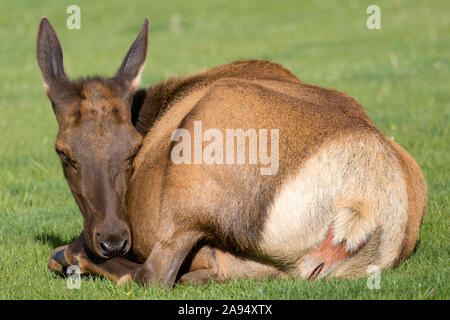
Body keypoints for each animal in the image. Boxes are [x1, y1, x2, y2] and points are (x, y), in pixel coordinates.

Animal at [37, 18, 428, 288]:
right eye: (64, 153)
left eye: (134, 150)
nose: (112, 239)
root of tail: (363, 199)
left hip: (192, 174)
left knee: (154, 274)